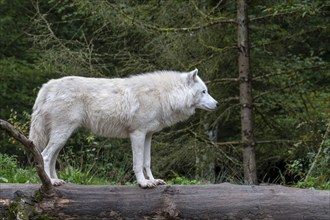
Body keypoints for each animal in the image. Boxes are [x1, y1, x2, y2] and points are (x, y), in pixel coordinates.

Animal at [29, 69, 218, 187]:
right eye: (204, 91)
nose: (217, 104)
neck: (163, 95)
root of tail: (47, 86)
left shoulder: (148, 135)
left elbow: (147, 162)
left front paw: (153, 181)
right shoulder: (137, 134)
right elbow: (138, 163)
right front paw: (143, 183)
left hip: (63, 136)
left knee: (52, 159)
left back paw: (57, 181)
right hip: (62, 134)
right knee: (45, 156)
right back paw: (50, 183)